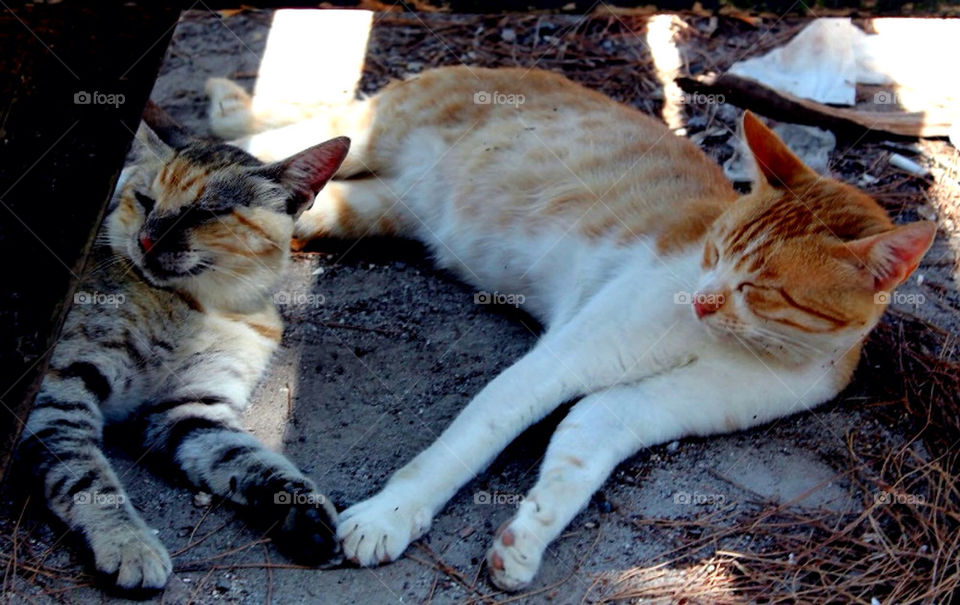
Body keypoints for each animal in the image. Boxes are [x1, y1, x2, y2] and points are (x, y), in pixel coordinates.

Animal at [16, 113, 348, 588]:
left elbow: (251, 458)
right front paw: (128, 543)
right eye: (144, 199)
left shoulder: (189, 409)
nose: (147, 241)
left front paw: (303, 515)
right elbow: (86, 477)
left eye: (203, 212)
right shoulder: (60, 388)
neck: (201, 305)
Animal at [206, 67, 932, 588]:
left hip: (362, 208)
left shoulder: (632, 409)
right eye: (717, 250)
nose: (700, 300)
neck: (741, 345)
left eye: (759, 287)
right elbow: (469, 440)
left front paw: (525, 540)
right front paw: (392, 513)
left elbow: (576, 458)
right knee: (269, 143)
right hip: (364, 128)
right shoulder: (562, 359)